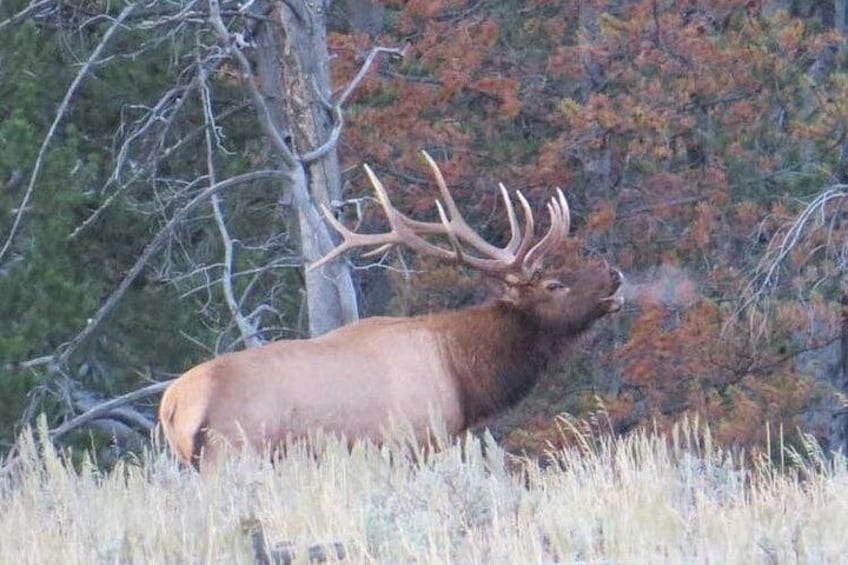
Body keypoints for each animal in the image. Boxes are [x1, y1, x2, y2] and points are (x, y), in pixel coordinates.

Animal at [158, 152, 624, 469]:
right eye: (554, 285)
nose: (614, 273)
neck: (463, 375)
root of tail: (172, 404)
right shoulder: (415, 439)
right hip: (234, 452)